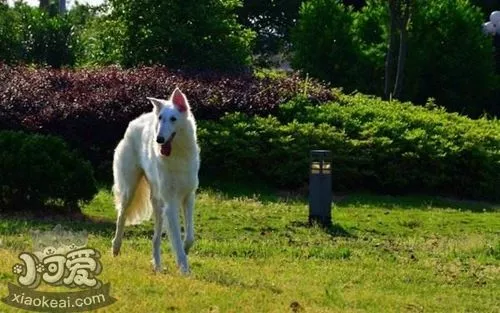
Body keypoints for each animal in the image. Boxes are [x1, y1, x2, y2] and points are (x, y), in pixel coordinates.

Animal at [112, 87, 200, 272]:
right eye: (160, 118)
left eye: (173, 119)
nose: (159, 139)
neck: (177, 155)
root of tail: (136, 120)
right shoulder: (171, 203)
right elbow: (177, 239)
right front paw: (184, 269)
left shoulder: (188, 197)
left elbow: (189, 237)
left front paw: (185, 253)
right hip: (130, 191)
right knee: (121, 216)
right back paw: (115, 248)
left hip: (158, 203)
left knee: (155, 238)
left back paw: (157, 266)